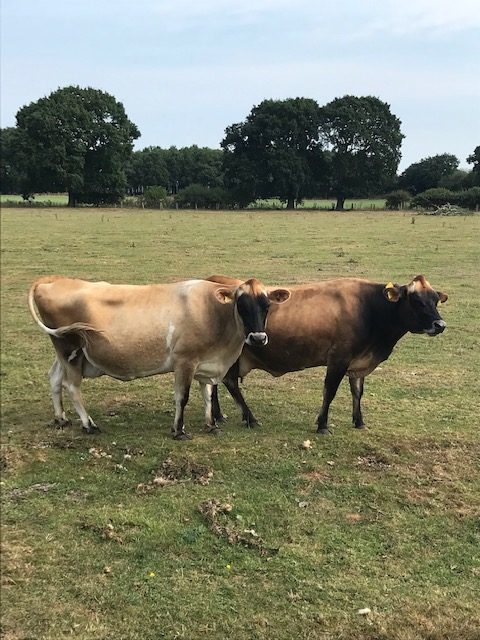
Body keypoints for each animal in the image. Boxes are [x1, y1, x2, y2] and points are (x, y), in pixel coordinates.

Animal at [28, 276, 291, 439]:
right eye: (241, 304)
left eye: (266, 305)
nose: (258, 337)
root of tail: (53, 281)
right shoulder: (185, 361)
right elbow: (182, 397)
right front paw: (179, 431)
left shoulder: (206, 364)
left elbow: (207, 395)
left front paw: (211, 425)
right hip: (70, 349)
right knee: (71, 386)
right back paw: (88, 424)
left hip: (67, 352)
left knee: (54, 378)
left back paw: (61, 419)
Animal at [207, 275, 448, 434]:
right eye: (416, 300)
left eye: (435, 299)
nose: (440, 325)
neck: (370, 308)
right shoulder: (339, 358)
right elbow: (329, 392)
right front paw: (322, 424)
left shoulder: (357, 362)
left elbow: (357, 392)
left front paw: (359, 421)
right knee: (230, 382)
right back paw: (249, 418)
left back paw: (218, 415)